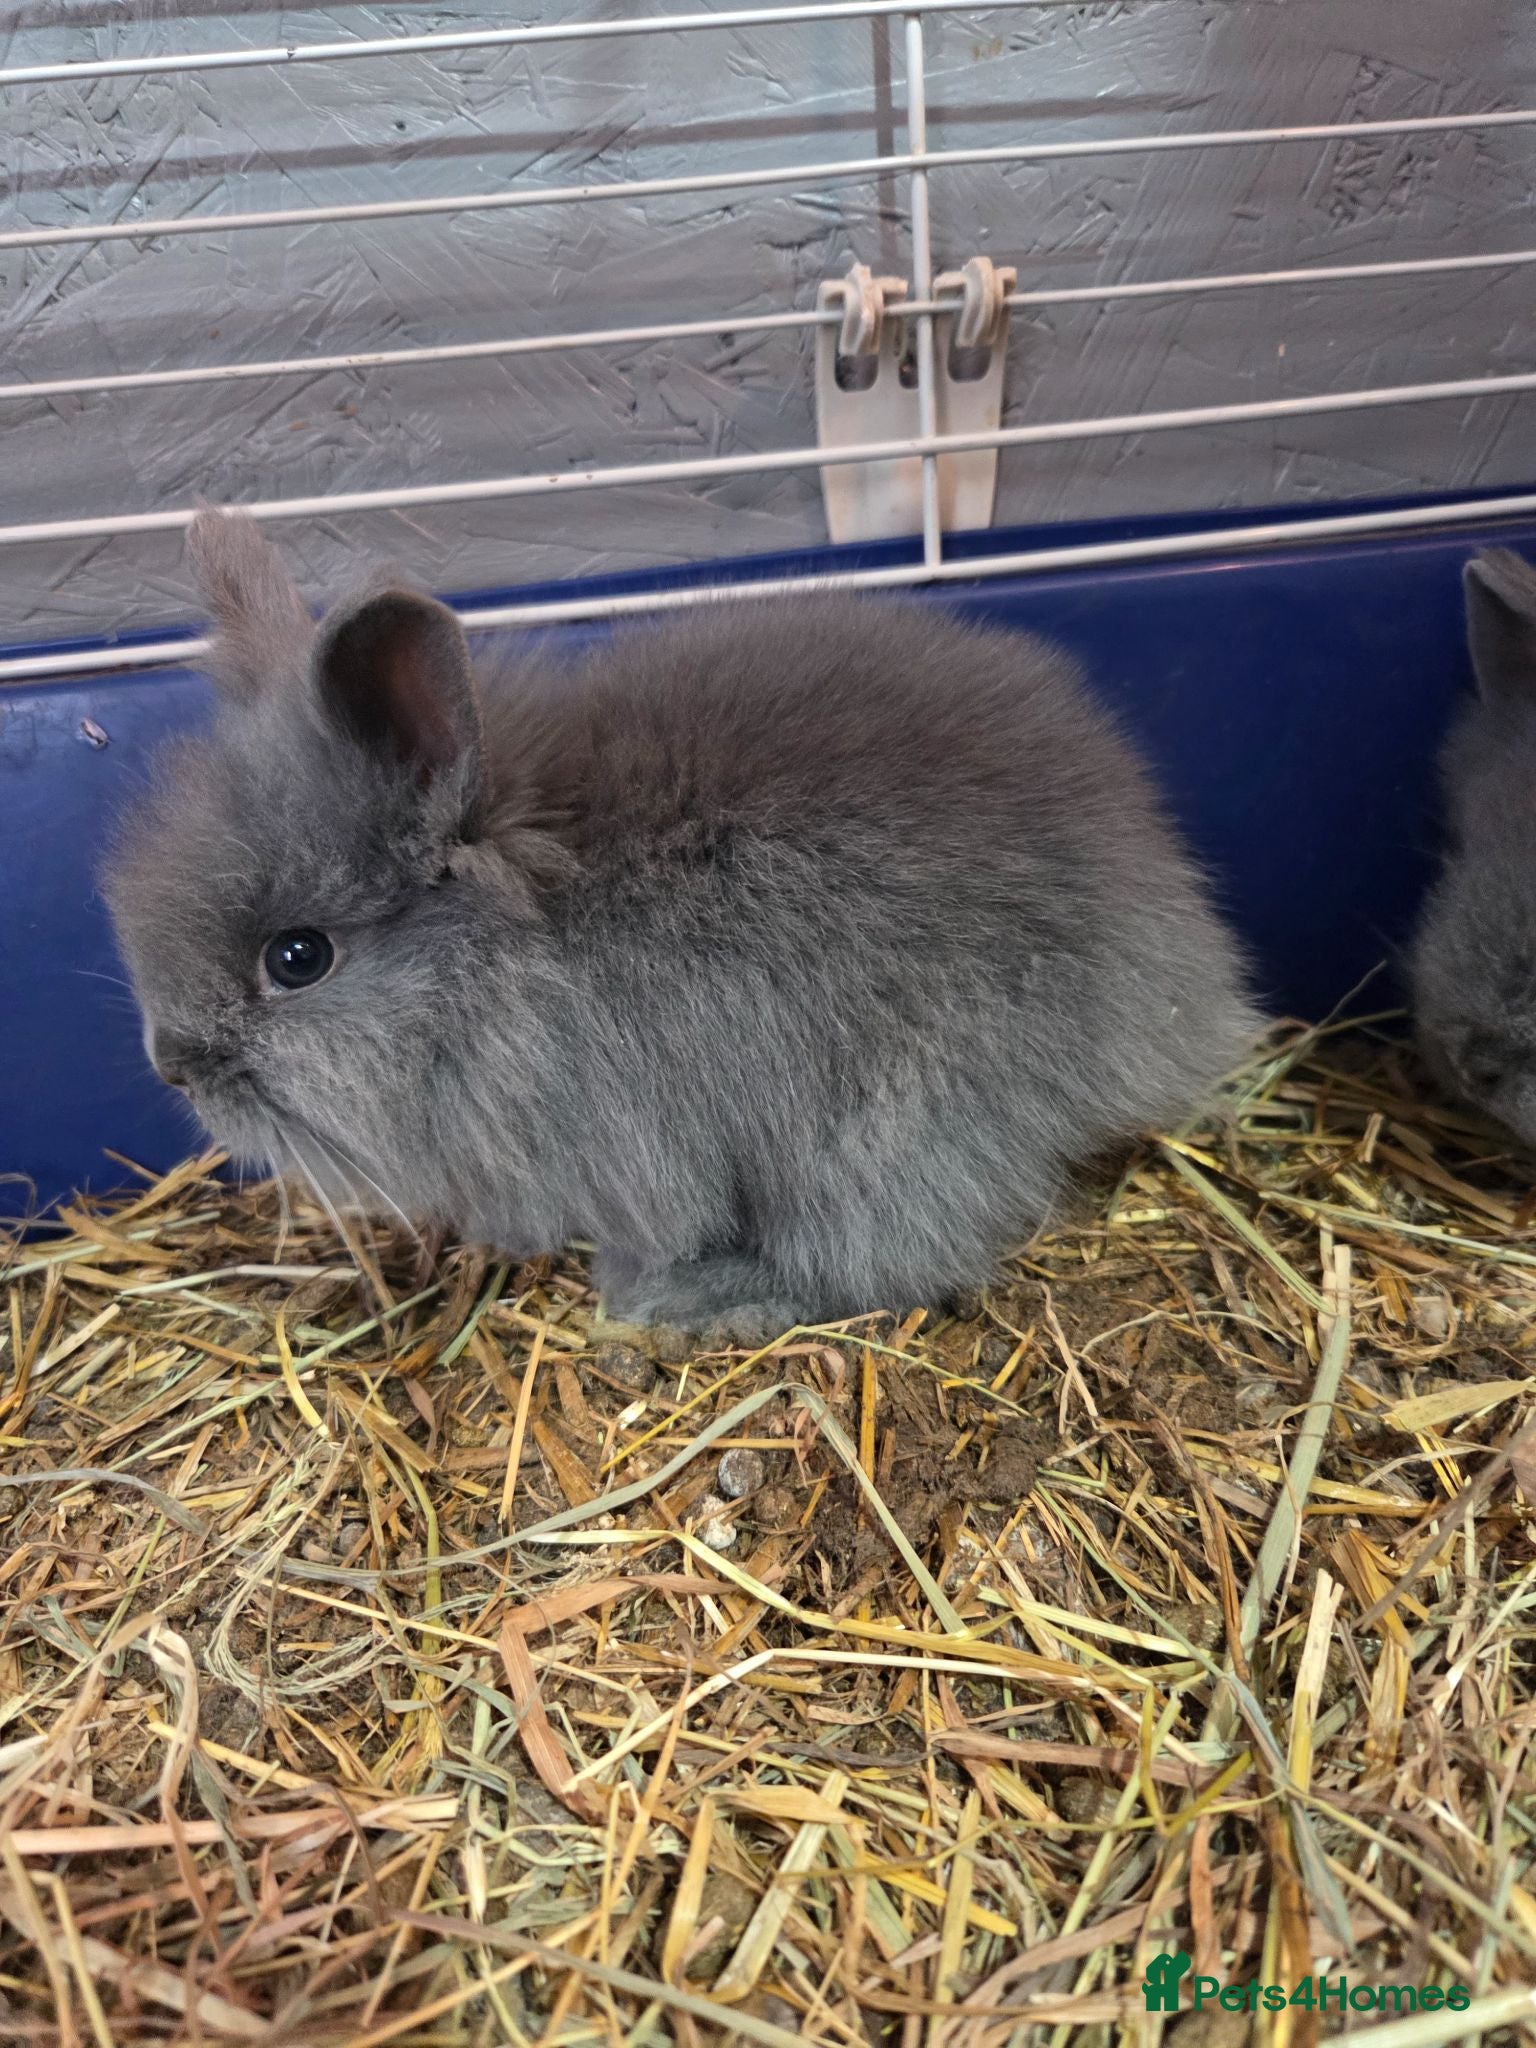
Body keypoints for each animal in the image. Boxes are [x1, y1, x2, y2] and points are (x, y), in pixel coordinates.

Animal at [104, 508, 1259, 1344]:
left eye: (297, 958)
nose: (169, 1064)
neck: (505, 966)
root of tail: (1181, 989)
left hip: (893, 1127)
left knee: (884, 1258)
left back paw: (688, 1300)